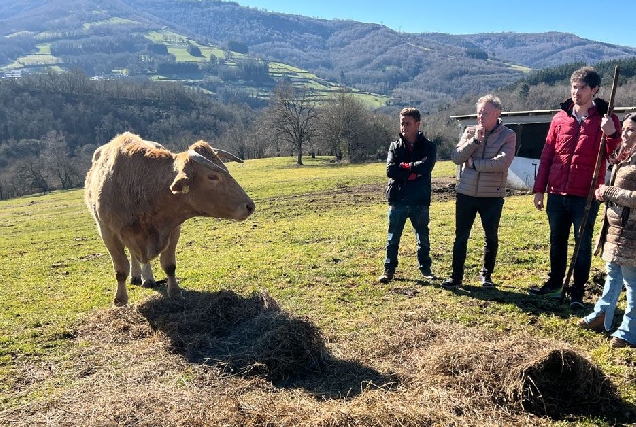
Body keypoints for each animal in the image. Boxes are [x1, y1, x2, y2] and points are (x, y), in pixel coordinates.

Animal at [84, 132, 256, 306]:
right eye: (212, 176)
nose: (250, 205)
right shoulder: (107, 232)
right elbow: (120, 270)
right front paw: (120, 299)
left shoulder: (172, 230)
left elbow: (169, 265)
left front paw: (174, 291)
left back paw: (146, 278)